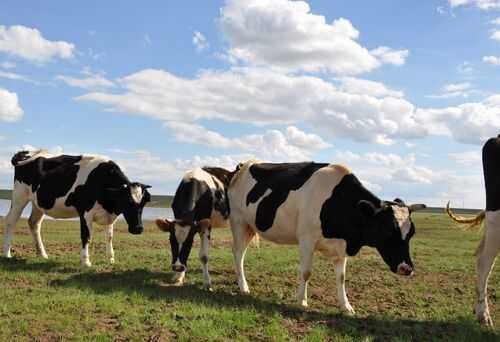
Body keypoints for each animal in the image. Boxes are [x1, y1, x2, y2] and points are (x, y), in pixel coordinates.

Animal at [2, 150, 150, 268]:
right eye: (128, 202)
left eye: (143, 203)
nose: (138, 228)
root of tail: (28, 152)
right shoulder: (85, 212)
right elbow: (86, 236)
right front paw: (86, 262)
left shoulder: (109, 215)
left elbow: (109, 236)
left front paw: (111, 259)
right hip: (19, 196)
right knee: (11, 221)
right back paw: (6, 253)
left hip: (38, 203)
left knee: (34, 223)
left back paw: (42, 254)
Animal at [228, 160, 426, 312]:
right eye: (388, 230)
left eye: (411, 233)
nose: (407, 268)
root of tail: (245, 164)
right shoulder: (306, 239)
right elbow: (306, 272)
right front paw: (302, 301)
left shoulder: (342, 246)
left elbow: (341, 277)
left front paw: (346, 306)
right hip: (238, 222)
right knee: (238, 253)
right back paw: (244, 287)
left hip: (249, 226)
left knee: (241, 253)